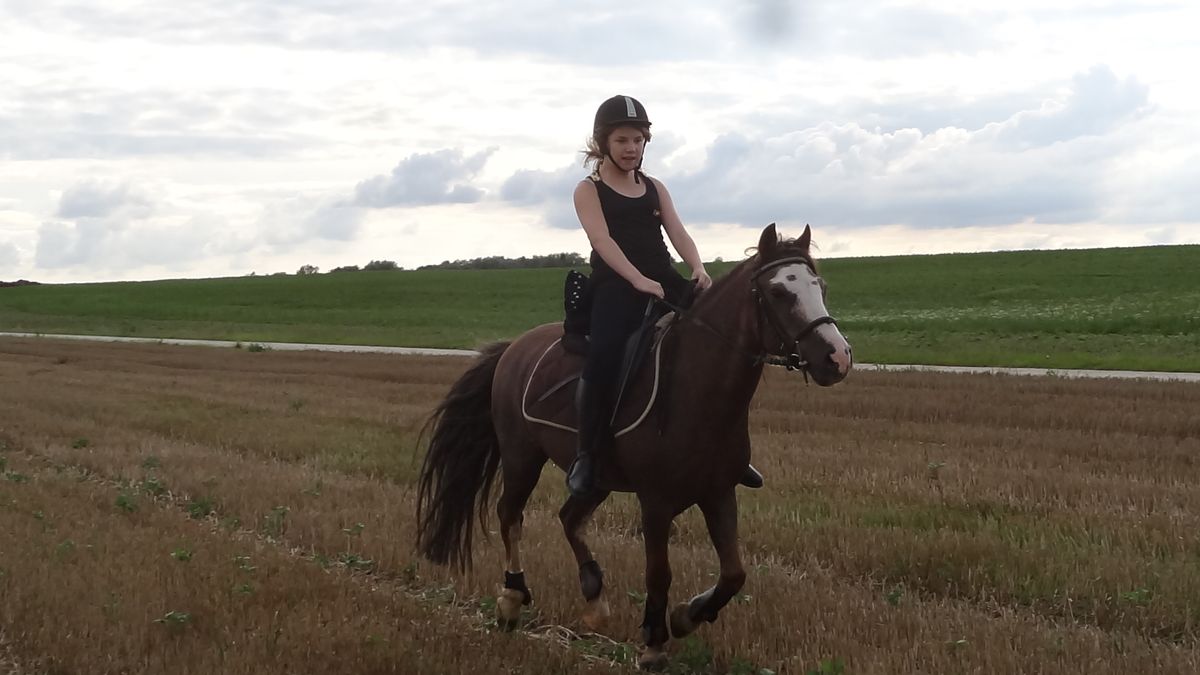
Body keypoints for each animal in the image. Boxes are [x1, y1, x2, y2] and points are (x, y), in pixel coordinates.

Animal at [412, 222, 854, 667]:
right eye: (779, 292)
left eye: (821, 286)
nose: (838, 358)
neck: (696, 388)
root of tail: (513, 348)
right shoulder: (655, 503)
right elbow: (659, 573)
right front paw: (654, 641)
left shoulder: (718, 492)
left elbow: (734, 573)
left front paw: (687, 616)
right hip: (522, 457)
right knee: (510, 516)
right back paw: (511, 599)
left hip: (596, 478)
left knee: (569, 518)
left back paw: (593, 597)